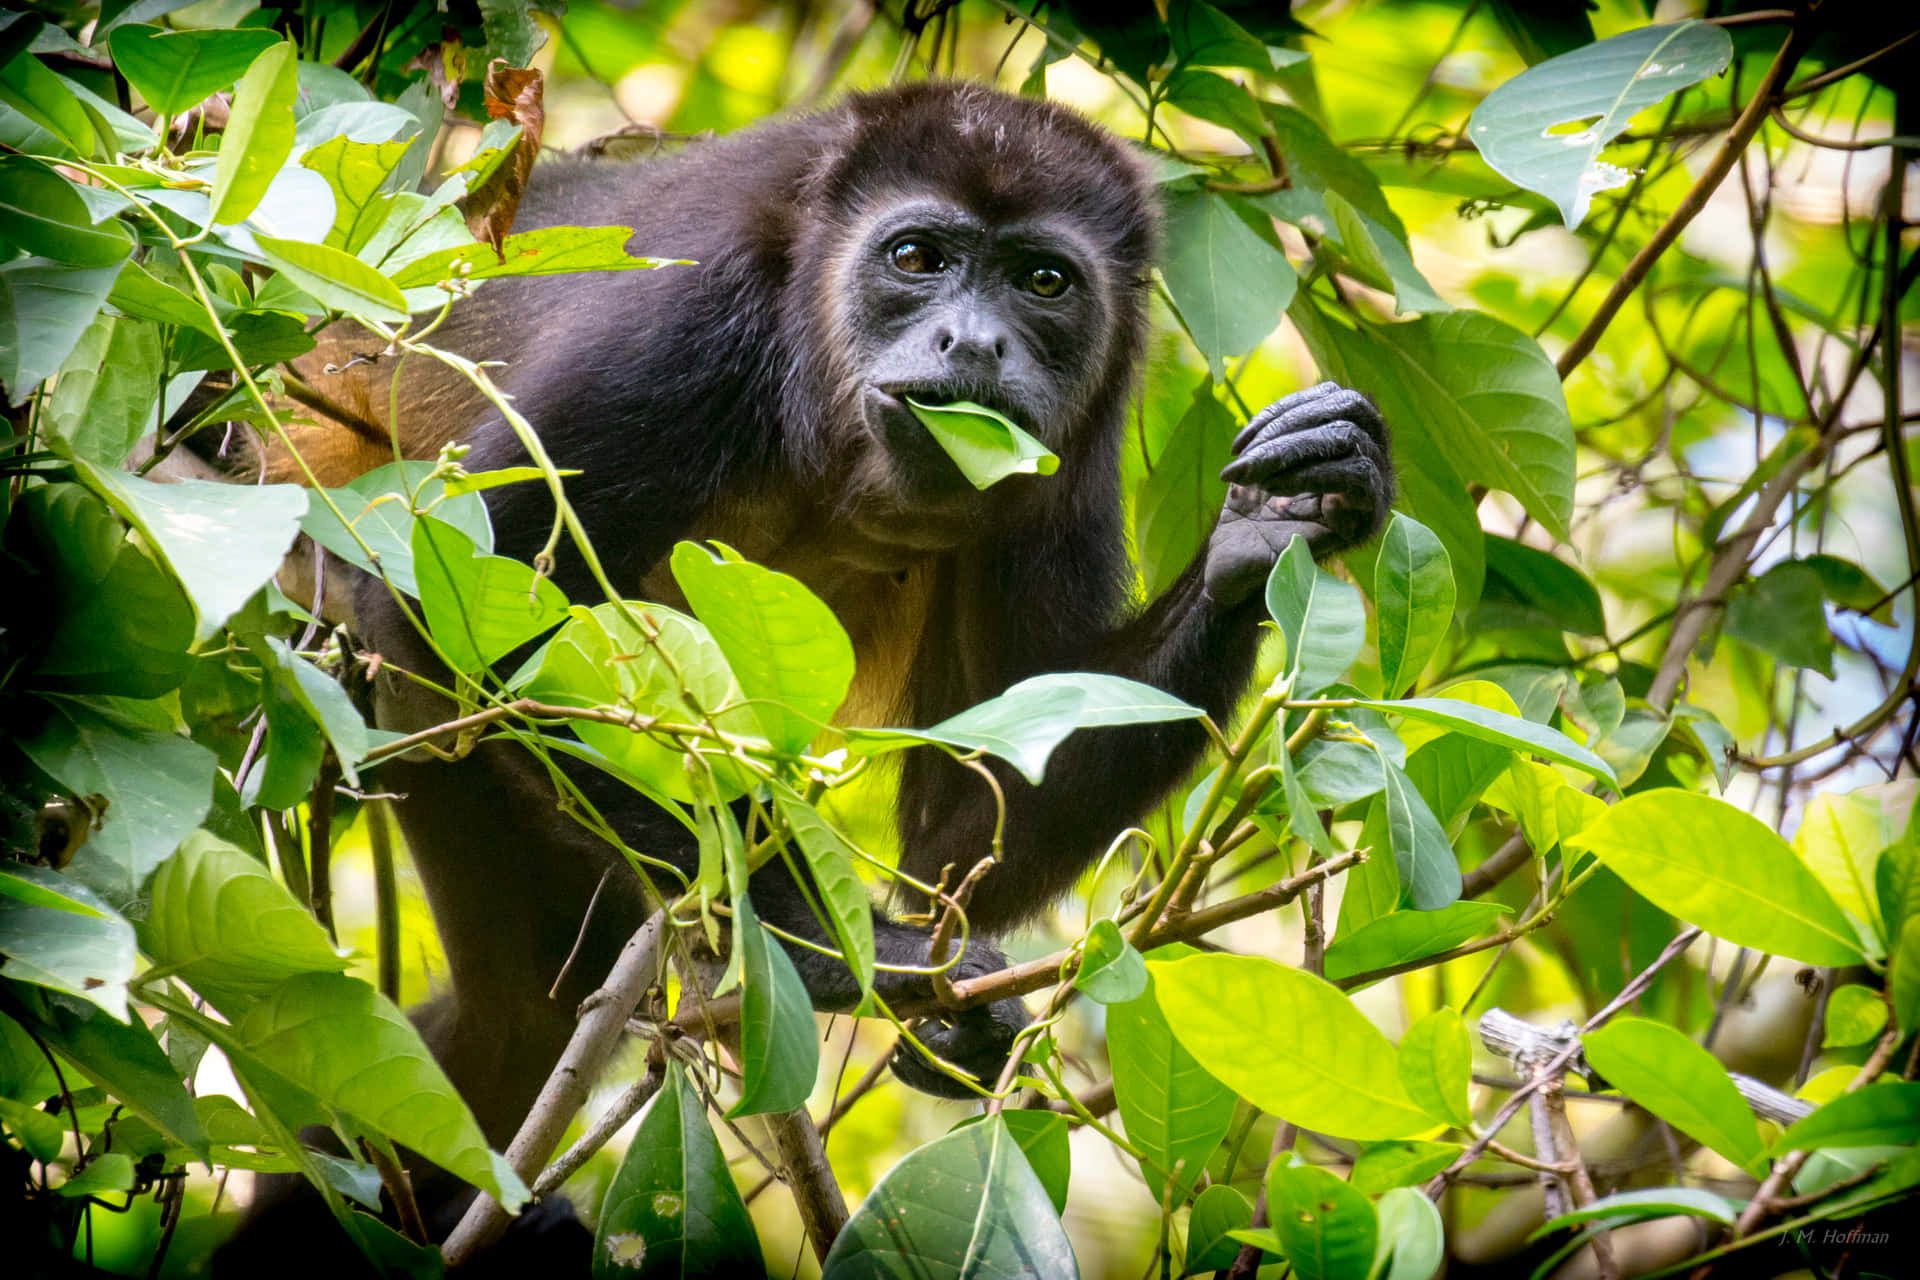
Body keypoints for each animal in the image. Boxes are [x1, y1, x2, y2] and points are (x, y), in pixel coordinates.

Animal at [240, 82, 1390, 1274]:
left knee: (513, 1024)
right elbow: (457, 610)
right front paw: (841, 951)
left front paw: (1269, 521)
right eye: (917, 257)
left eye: (1044, 281)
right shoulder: (691, 321)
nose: (975, 340)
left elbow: (983, 800)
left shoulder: (1081, 442)